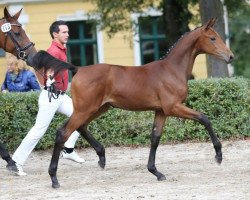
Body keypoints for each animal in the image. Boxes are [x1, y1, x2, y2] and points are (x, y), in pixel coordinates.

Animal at [31, 17, 234, 188]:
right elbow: (204, 118)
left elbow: (155, 138)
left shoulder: (161, 111)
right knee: (63, 133)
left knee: (79, 127)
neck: (171, 70)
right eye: (212, 38)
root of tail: (78, 69)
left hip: (98, 108)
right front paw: (218, 155)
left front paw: (155, 172)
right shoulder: (173, 107)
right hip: (86, 109)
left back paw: (101, 157)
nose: (230, 56)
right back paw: (54, 178)